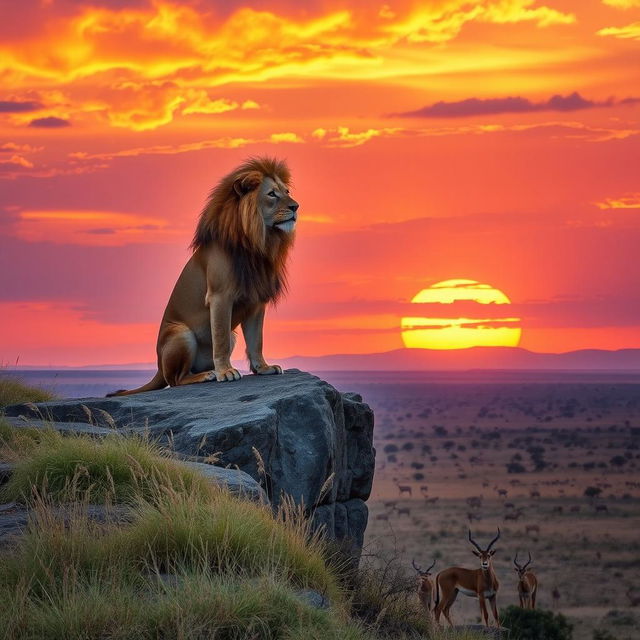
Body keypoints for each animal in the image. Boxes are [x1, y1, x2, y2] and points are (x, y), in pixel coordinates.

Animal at [109, 156, 298, 396]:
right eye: (272, 194)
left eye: (287, 191)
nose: (296, 206)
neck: (258, 242)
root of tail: (159, 366)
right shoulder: (220, 296)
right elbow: (220, 338)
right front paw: (226, 372)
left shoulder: (256, 301)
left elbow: (257, 340)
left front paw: (263, 368)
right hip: (182, 334)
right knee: (175, 379)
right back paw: (207, 375)